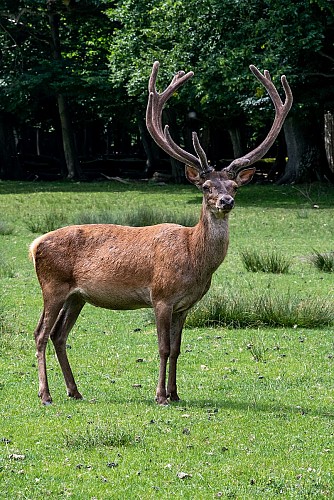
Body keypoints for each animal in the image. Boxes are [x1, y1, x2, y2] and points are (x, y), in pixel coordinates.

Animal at [30, 62, 292, 406]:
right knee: (40, 333)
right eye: (206, 187)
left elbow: (178, 349)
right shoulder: (161, 297)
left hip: (77, 296)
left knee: (59, 335)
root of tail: (34, 245)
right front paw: (160, 396)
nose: (226, 201)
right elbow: (163, 348)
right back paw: (46, 395)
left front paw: (176, 393)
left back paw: (75, 390)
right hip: (52, 286)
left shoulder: (185, 305)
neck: (194, 258)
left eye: (235, 186)